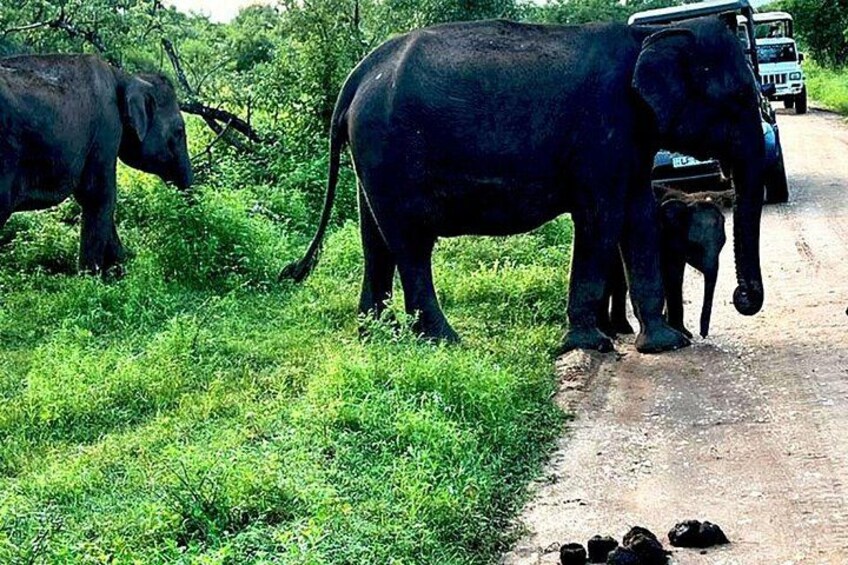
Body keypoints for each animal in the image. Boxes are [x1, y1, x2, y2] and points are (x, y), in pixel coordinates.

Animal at [0, 54, 193, 275]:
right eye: (179, 131)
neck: (124, 76)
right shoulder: (106, 129)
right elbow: (98, 195)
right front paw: (90, 278)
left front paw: (120, 273)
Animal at [600, 184, 727, 340]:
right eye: (695, 247)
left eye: (723, 244)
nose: (703, 335)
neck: (686, 201)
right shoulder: (661, 237)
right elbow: (670, 275)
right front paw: (683, 333)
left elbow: (676, 276)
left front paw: (682, 332)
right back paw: (609, 332)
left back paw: (624, 329)